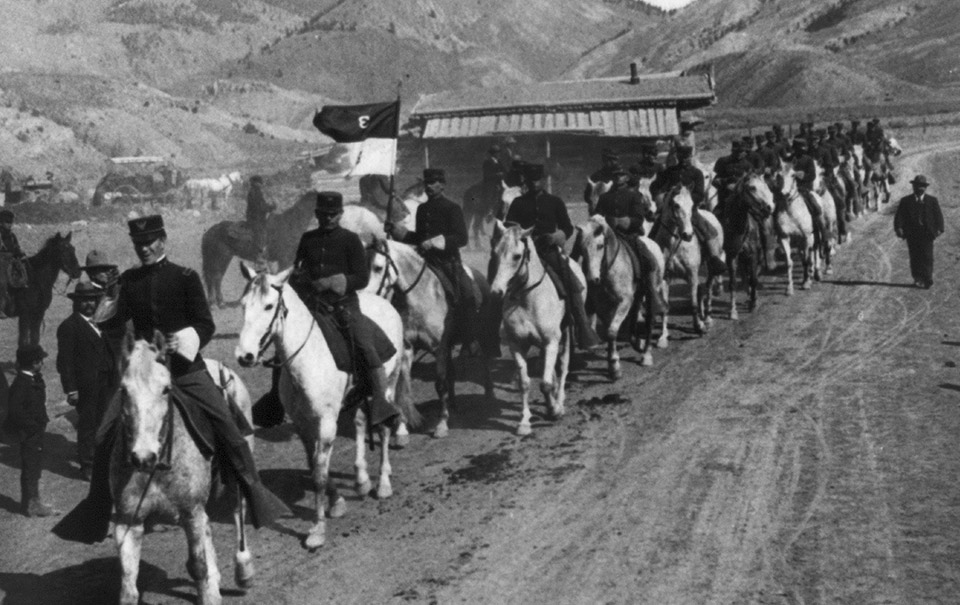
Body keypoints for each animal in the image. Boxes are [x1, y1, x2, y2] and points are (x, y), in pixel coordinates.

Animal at [237, 264, 412, 548]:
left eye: (269, 305)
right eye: (243, 305)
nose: (244, 356)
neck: (308, 359)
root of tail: (384, 303)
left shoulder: (326, 423)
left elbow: (319, 472)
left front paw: (318, 529)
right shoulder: (303, 424)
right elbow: (314, 465)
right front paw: (337, 501)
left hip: (388, 383)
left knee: (384, 427)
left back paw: (383, 483)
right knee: (361, 423)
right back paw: (362, 479)